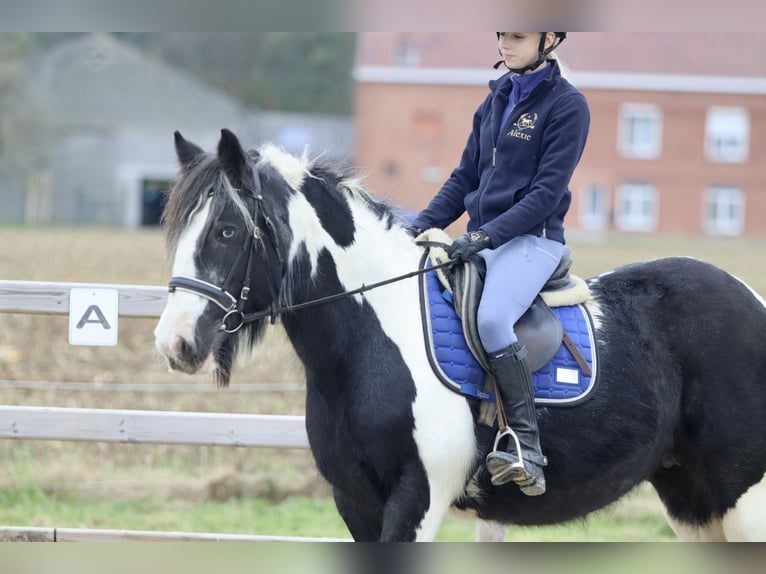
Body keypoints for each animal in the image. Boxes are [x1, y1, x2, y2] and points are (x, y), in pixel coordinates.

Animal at [153, 129, 766, 544]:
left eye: (227, 231)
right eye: (179, 230)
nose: (174, 344)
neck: (373, 338)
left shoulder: (416, 499)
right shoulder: (355, 503)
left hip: (744, 497)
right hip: (694, 502)